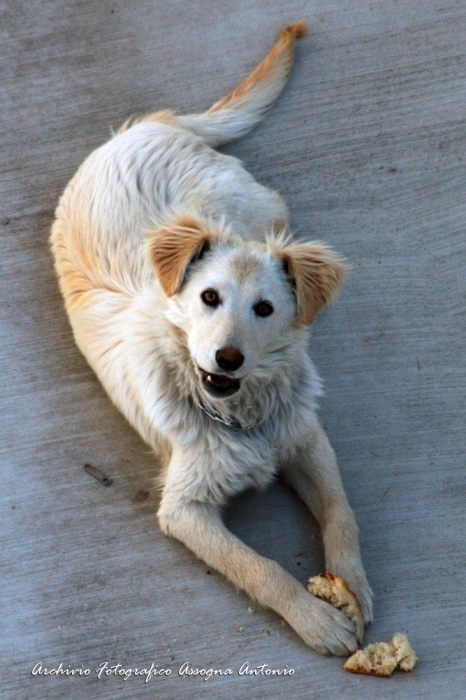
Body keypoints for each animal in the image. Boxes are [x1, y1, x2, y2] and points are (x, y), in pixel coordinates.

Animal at [50, 21, 372, 656]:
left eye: (264, 309)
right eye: (208, 298)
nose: (227, 358)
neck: (242, 419)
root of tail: (144, 127)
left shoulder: (305, 437)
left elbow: (341, 512)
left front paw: (353, 584)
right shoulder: (185, 510)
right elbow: (261, 568)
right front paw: (316, 619)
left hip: (255, 207)